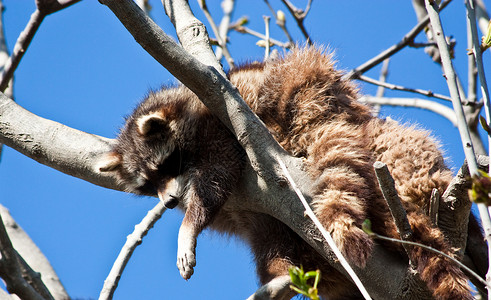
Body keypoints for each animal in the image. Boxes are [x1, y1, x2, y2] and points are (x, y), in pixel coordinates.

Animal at [98, 48, 478, 298]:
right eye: (149, 184)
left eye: (166, 165)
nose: (170, 203)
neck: (185, 104)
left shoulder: (221, 122)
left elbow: (217, 178)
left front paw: (188, 227)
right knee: (268, 235)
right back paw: (284, 274)